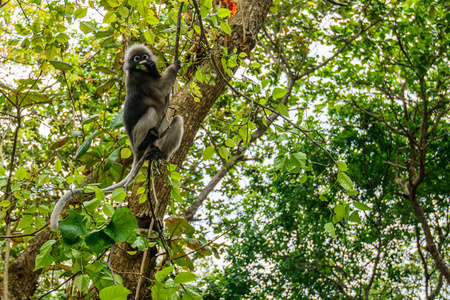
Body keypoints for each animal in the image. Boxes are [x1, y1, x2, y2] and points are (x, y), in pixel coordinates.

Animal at [49, 44, 183, 232]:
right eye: (136, 59)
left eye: (144, 56)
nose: (142, 61)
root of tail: (135, 150)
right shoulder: (139, 78)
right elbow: (162, 89)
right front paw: (173, 67)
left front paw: (154, 67)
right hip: (136, 138)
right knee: (150, 111)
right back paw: (146, 140)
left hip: (159, 141)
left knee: (178, 119)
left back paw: (160, 154)